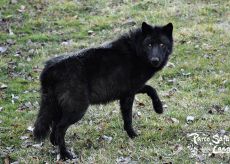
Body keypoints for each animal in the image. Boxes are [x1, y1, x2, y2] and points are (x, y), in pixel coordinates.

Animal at [33, 21, 173, 159]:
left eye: (161, 44)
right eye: (149, 45)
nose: (155, 60)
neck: (135, 52)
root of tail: (48, 69)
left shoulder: (130, 90)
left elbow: (150, 90)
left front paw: (158, 109)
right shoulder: (129, 93)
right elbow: (130, 116)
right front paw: (134, 134)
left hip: (59, 108)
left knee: (55, 127)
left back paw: (56, 145)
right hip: (77, 110)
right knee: (59, 128)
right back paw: (65, 155)